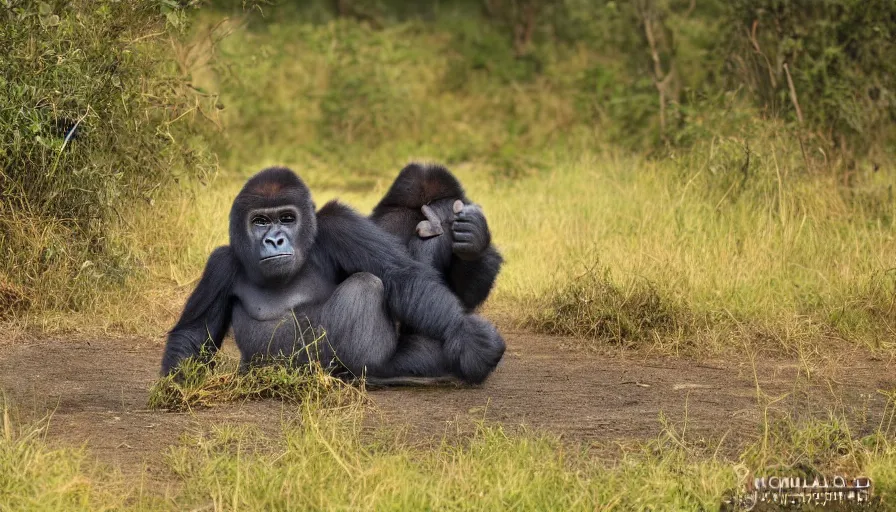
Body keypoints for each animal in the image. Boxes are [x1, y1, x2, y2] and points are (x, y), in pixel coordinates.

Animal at [160, 164, 504, 384]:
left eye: (287, 218)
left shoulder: (340, 225)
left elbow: (402, 276)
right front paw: (175, 386)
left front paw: (465, 334)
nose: (275, 240)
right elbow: (193, 332)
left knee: (368, 285)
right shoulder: (220, 266)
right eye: (259, 221)